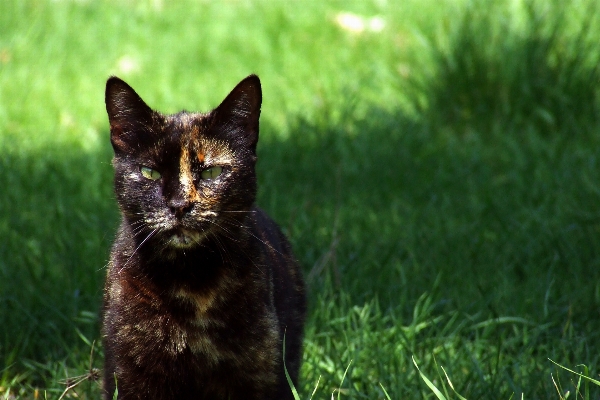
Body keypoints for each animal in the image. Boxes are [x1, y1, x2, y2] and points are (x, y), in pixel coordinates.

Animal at [102, 73, 304, 398]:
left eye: (211, 172)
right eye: (150, 172)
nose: (179, 204)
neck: (192, 280)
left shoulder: (261, 375)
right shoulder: (129, 374)